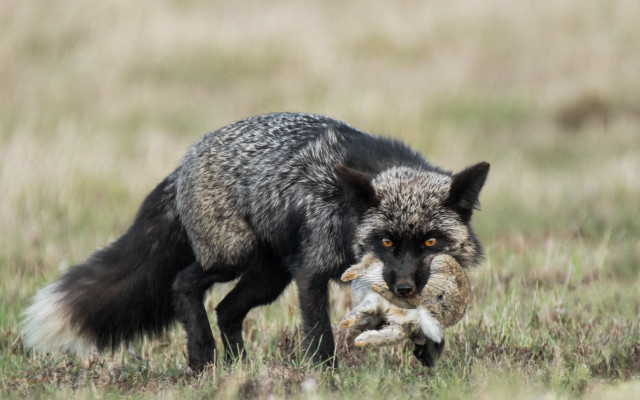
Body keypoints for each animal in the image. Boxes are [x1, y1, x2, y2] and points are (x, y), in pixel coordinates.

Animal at [21, 112, 489, 371]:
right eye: (387, 243)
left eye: (430, 242)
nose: (405, 288)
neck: (345, 207)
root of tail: (182, 164)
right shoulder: (311, 273)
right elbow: (319, 335)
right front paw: (326, 376)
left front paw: (428, 355)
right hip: (233, 258)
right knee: (183, 284)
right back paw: (202, 358)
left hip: (268, 278)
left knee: (227, 310)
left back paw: (237, 368)